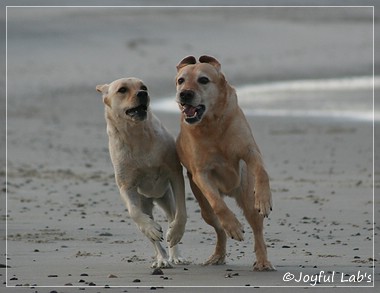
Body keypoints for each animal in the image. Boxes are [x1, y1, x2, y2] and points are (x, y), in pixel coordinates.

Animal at [96, 77, 187, 266]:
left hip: (165, 196)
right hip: (144, 201)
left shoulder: (175, 173)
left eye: (143, 87)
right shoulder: (126, 186)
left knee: (172, 216)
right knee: (150, 230)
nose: (143, 94)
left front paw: (175, 233)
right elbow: (134, 212)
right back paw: (161, 258)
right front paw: (152, 229)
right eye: (122, 90)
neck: (135, 134)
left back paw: (175, 254)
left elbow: (181, 212)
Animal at [175, 56, 274, 270]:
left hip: (247, 195)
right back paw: (218, 253)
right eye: (181, 80)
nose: (184, 93)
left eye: (203, 80)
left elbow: (261, 171)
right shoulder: (200, 173)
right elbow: (218, 204)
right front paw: (234, 226)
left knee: (257, 229)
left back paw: (263, 261)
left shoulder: (250, 151)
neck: (211, 123)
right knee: (219, 227)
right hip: (205, 209)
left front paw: (264, 199)